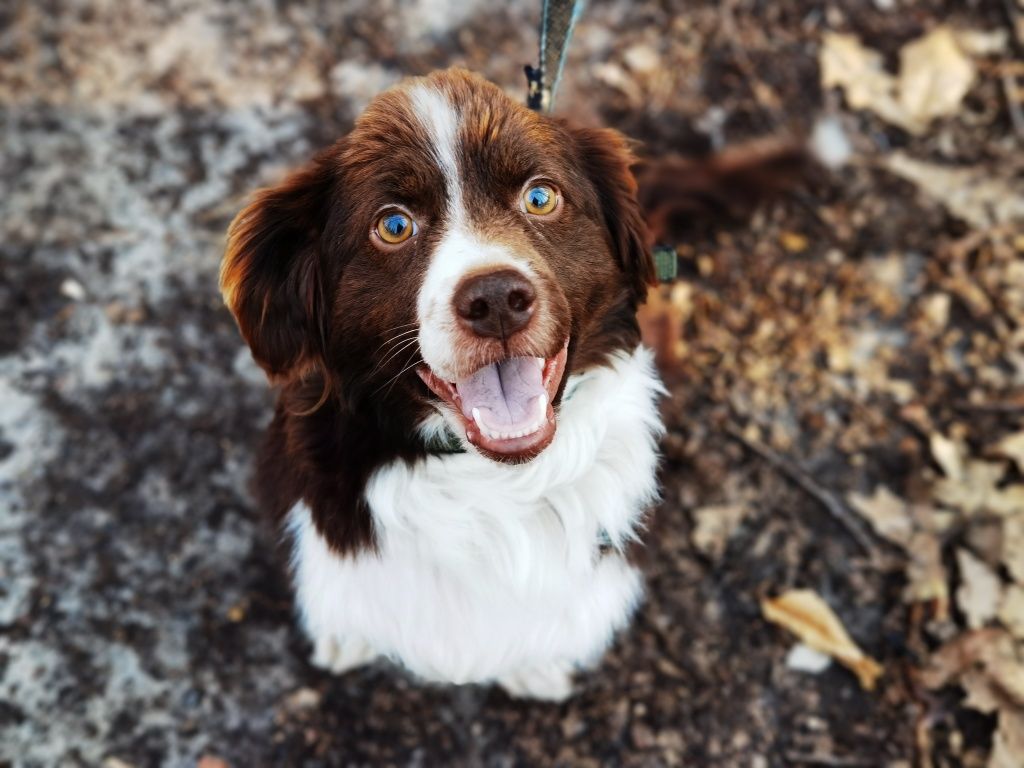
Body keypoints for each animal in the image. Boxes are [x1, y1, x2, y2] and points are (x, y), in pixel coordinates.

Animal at [220, 67, 802, 704]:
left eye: (540, 197)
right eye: (393, 225)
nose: (496, 299)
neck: (483, 477)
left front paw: (538, 666)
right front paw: (345, 638)